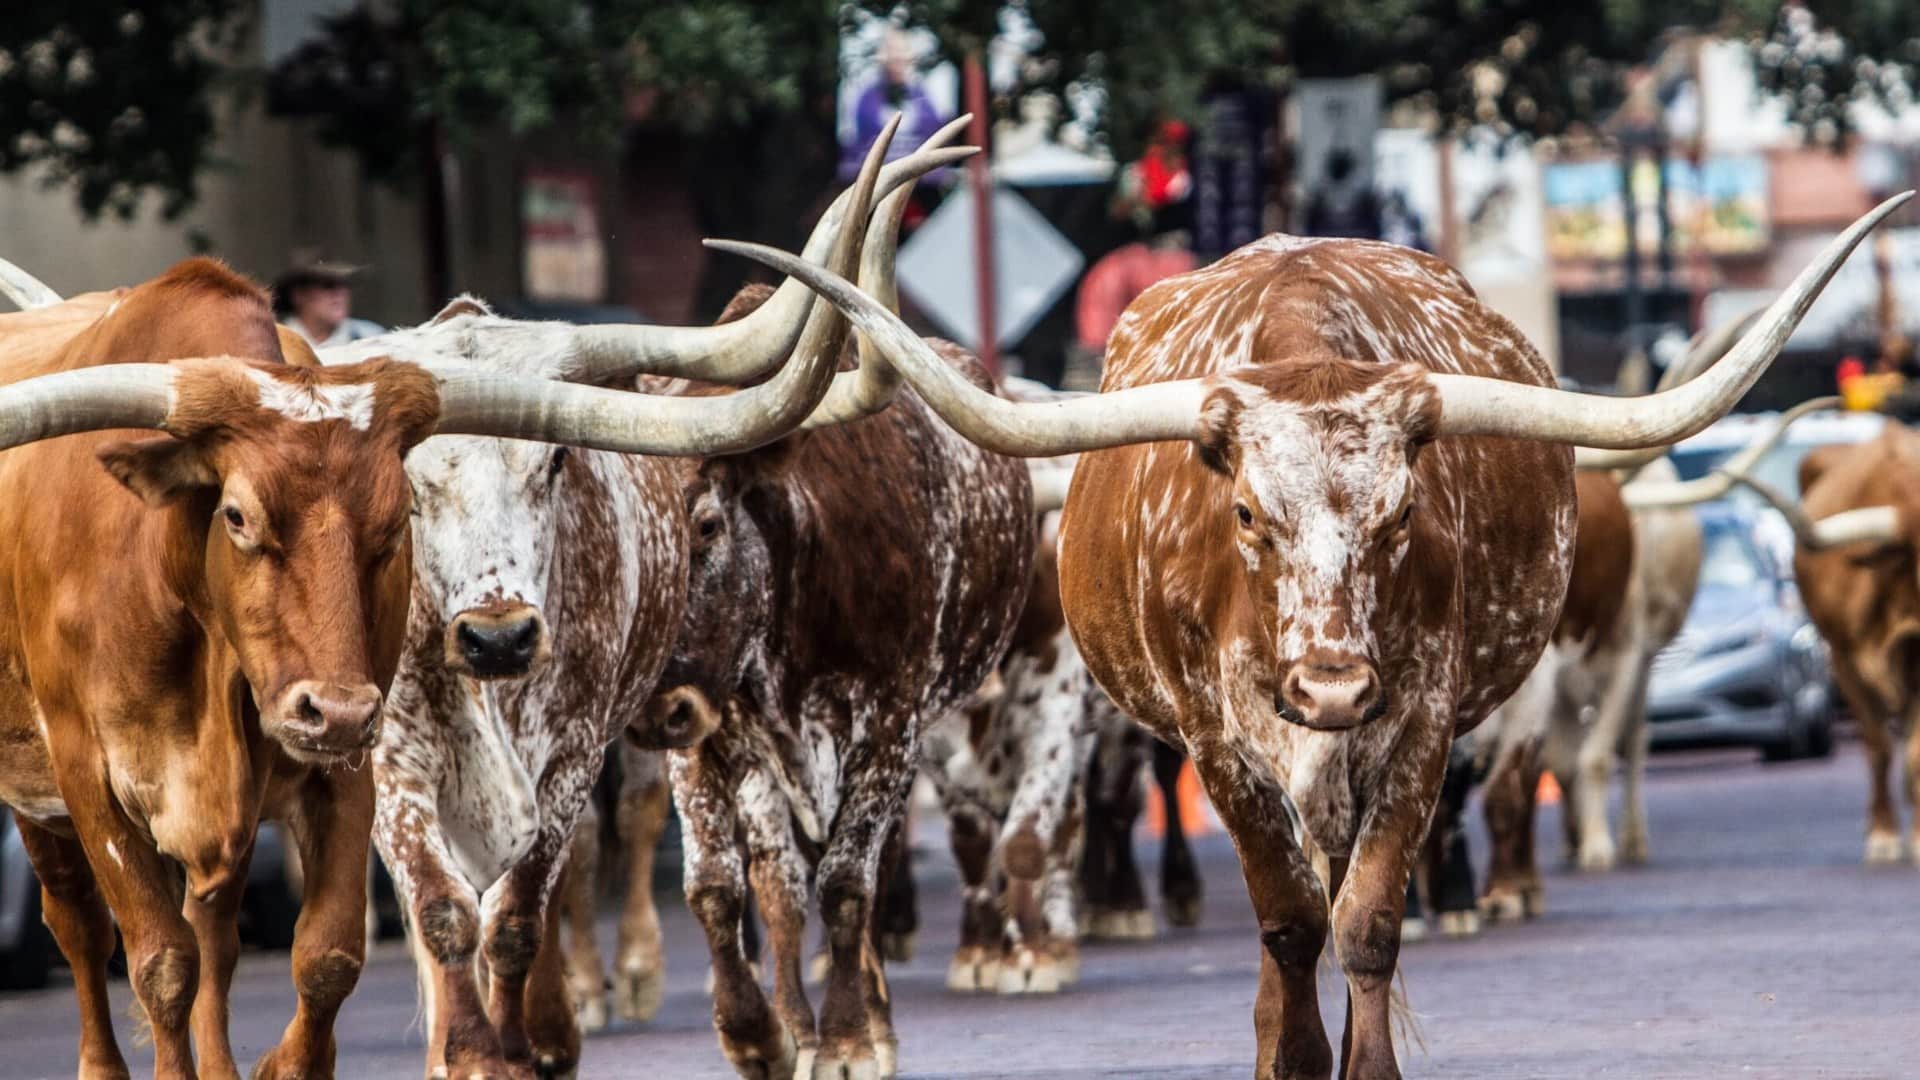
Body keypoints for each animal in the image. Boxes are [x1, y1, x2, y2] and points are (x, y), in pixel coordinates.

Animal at [723, 193, 1902, 1078]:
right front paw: (1288, 1057)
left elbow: (1367, 918)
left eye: (1404, 512)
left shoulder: (1422, 724)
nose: (1331, 684)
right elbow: (1288, 917)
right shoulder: (1217, 743)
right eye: (1246, 513)